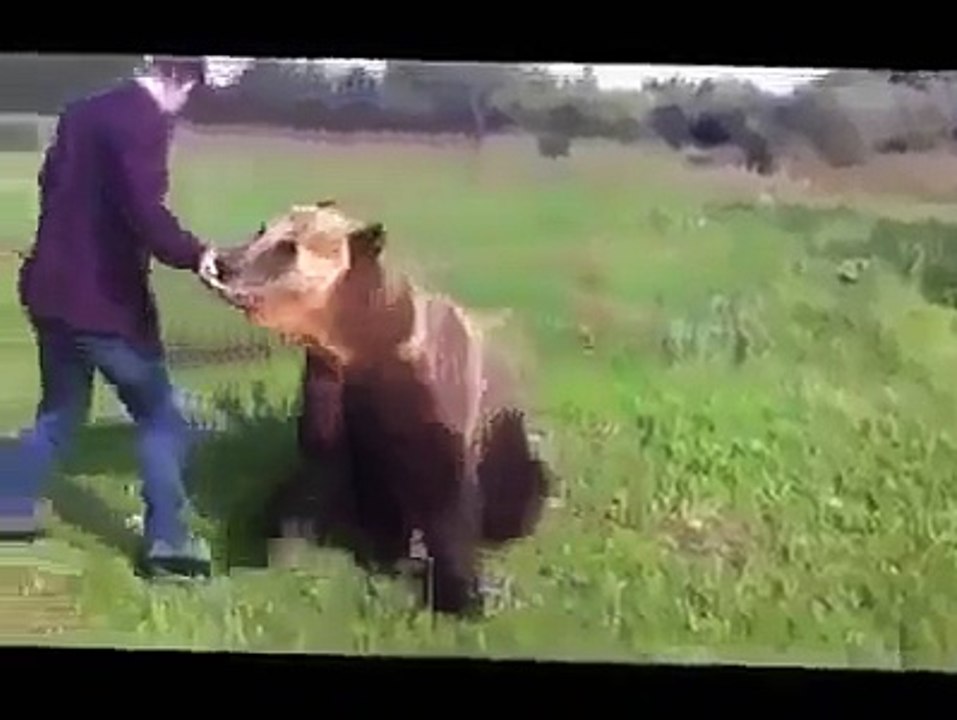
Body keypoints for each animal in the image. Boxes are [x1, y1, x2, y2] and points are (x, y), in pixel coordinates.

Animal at [211, 200, 551, 615]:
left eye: (287, 247)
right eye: (262, 231)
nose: (224, 262)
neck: (358, 340)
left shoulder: (426, 386)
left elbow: (443, 487)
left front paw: (461, 593)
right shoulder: (329, 385)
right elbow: (318, 470)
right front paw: (283, 547)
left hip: (507, 438)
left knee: (519, 491)